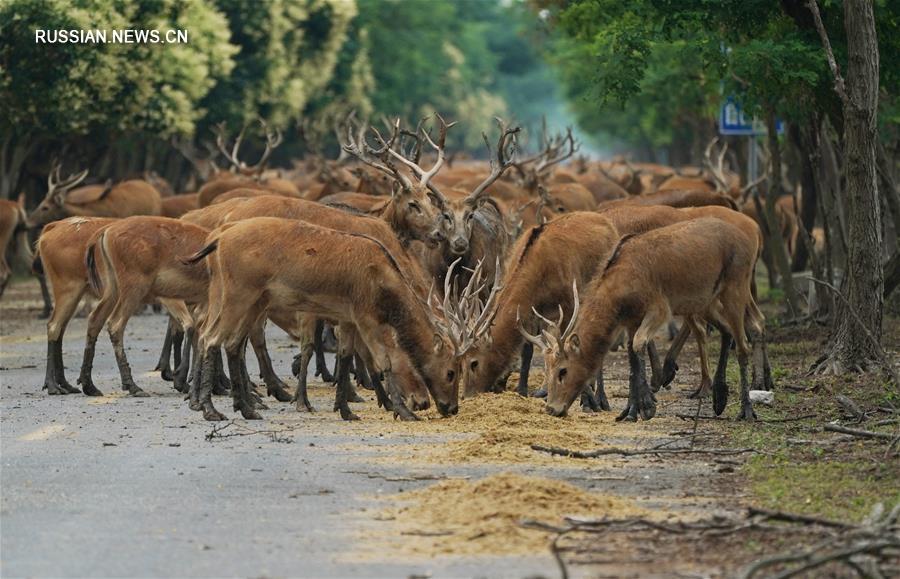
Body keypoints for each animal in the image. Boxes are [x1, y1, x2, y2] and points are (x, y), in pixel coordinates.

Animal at [532, 218, 768, 422]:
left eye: (563, 370)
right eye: (548, 369)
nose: (552, 408)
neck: (619, 290)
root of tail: (753, 235)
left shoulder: (659, 308)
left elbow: (639, 344)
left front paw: (647, 407)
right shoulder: (631, 319)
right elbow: (632, 358)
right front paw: (629, 411)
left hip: (735, 287)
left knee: (743, 344)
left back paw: (746, 410)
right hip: (705, 301)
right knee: (732, 329)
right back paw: (719, 398)